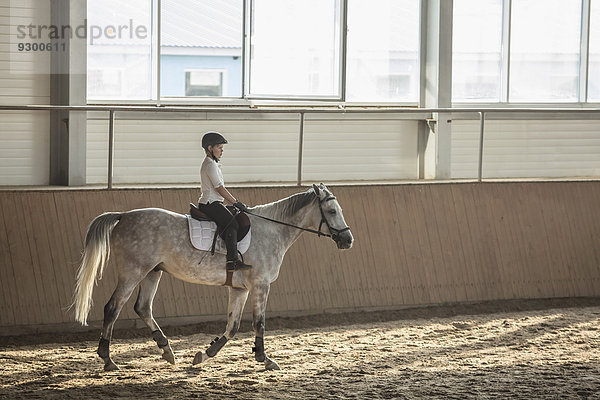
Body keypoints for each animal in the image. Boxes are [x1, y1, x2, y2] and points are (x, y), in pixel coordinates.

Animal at [71, 183, 352, 370]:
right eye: (332, 211)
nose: (348, 240)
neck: (272, 230)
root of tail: (124, 216)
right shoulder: (260, 285)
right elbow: (259, 323)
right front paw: (265, 359)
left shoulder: (240, 289)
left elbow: (233, 326)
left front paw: (204, 355)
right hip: (133, 272)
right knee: (112, 308)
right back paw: (108, 360)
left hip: (153, 272)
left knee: (142, 308)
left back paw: (167, 350)